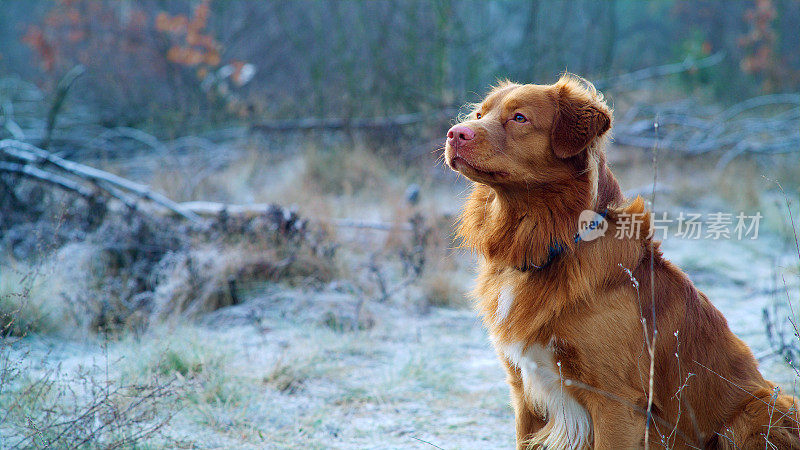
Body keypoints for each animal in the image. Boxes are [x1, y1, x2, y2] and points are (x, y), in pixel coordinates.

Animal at [444, 75, 800, 448]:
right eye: (480, 114)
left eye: (519, 118)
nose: (454, 134)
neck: (549, 244)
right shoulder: (525, 392)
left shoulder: (615, 401)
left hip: (757, 412)